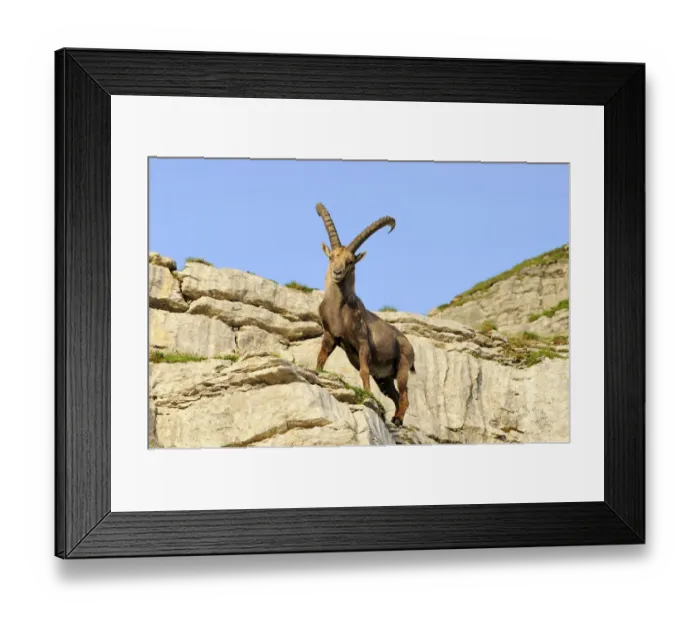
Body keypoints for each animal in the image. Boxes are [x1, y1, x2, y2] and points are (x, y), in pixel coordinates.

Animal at [314, 203, 416, 427]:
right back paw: (395, 418)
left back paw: (397, 419)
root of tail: (409, 344)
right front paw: (316, 374)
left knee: (405, 395)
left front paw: (368, 396)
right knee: (395, 395)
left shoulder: (363, 342)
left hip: (403, 366)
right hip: (384, 378)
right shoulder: (330, 336)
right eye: (332, 257)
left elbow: (363, 370)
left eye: (351, 261)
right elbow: (321, 359)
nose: (337, 272)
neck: (339, 310)